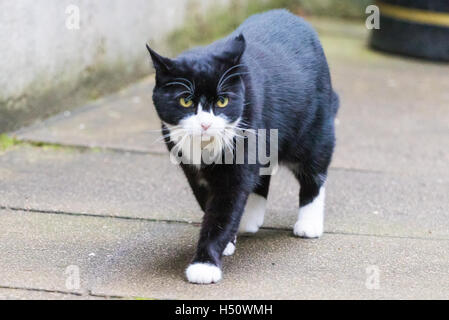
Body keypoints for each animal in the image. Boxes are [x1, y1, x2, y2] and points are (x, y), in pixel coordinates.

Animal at [145, 9, 338, 284]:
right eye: (185, 101)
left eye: (223, 101)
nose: (205, 124)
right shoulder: (191, 169)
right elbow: (210, 203)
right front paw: (227, 241)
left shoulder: (239, 156)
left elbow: (225, 205)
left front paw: (205, 264)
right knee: (261, 175)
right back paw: (250, 219)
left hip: (313, 130)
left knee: (314, 172)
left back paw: (309, 223)